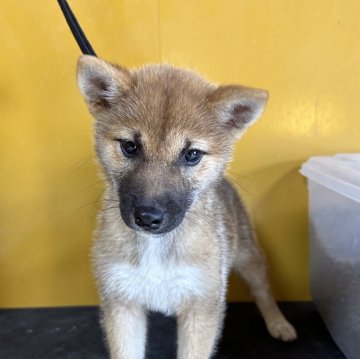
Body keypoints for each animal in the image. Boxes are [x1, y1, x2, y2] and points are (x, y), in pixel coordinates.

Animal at [76, 54, 298, 359]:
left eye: (192, 154)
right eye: (130, 147)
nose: (148, 217)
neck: (156, 247)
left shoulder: (201, 307)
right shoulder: (122, 304)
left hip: (248, 257)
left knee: (263, 291)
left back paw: (278, 323)